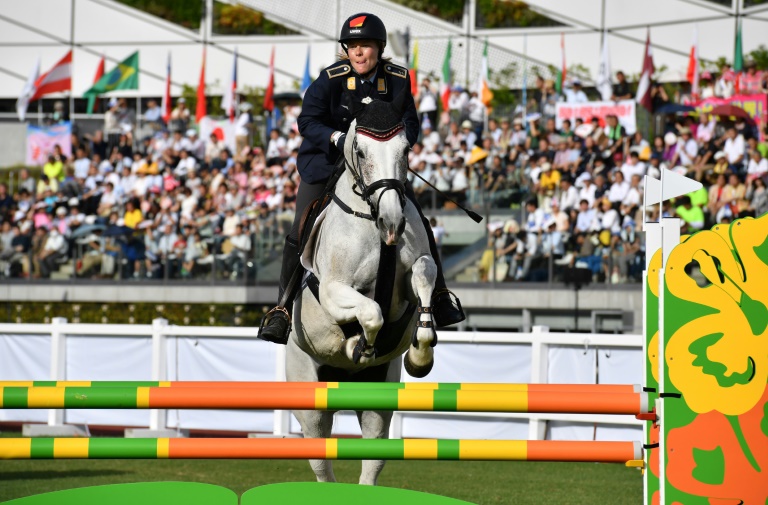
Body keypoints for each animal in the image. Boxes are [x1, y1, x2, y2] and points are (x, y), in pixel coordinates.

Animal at [286, 94, 438, 484]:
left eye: (405, 149)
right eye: (360, 150)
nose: (393, 222)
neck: (371, 218)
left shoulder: (414, 275)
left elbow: (424, 276)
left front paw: (420, 355)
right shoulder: (333, 291)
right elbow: (371, 312)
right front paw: (360, 345)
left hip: (377, 401)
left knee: (373, 460)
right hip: (311, 402)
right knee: (321, 460)